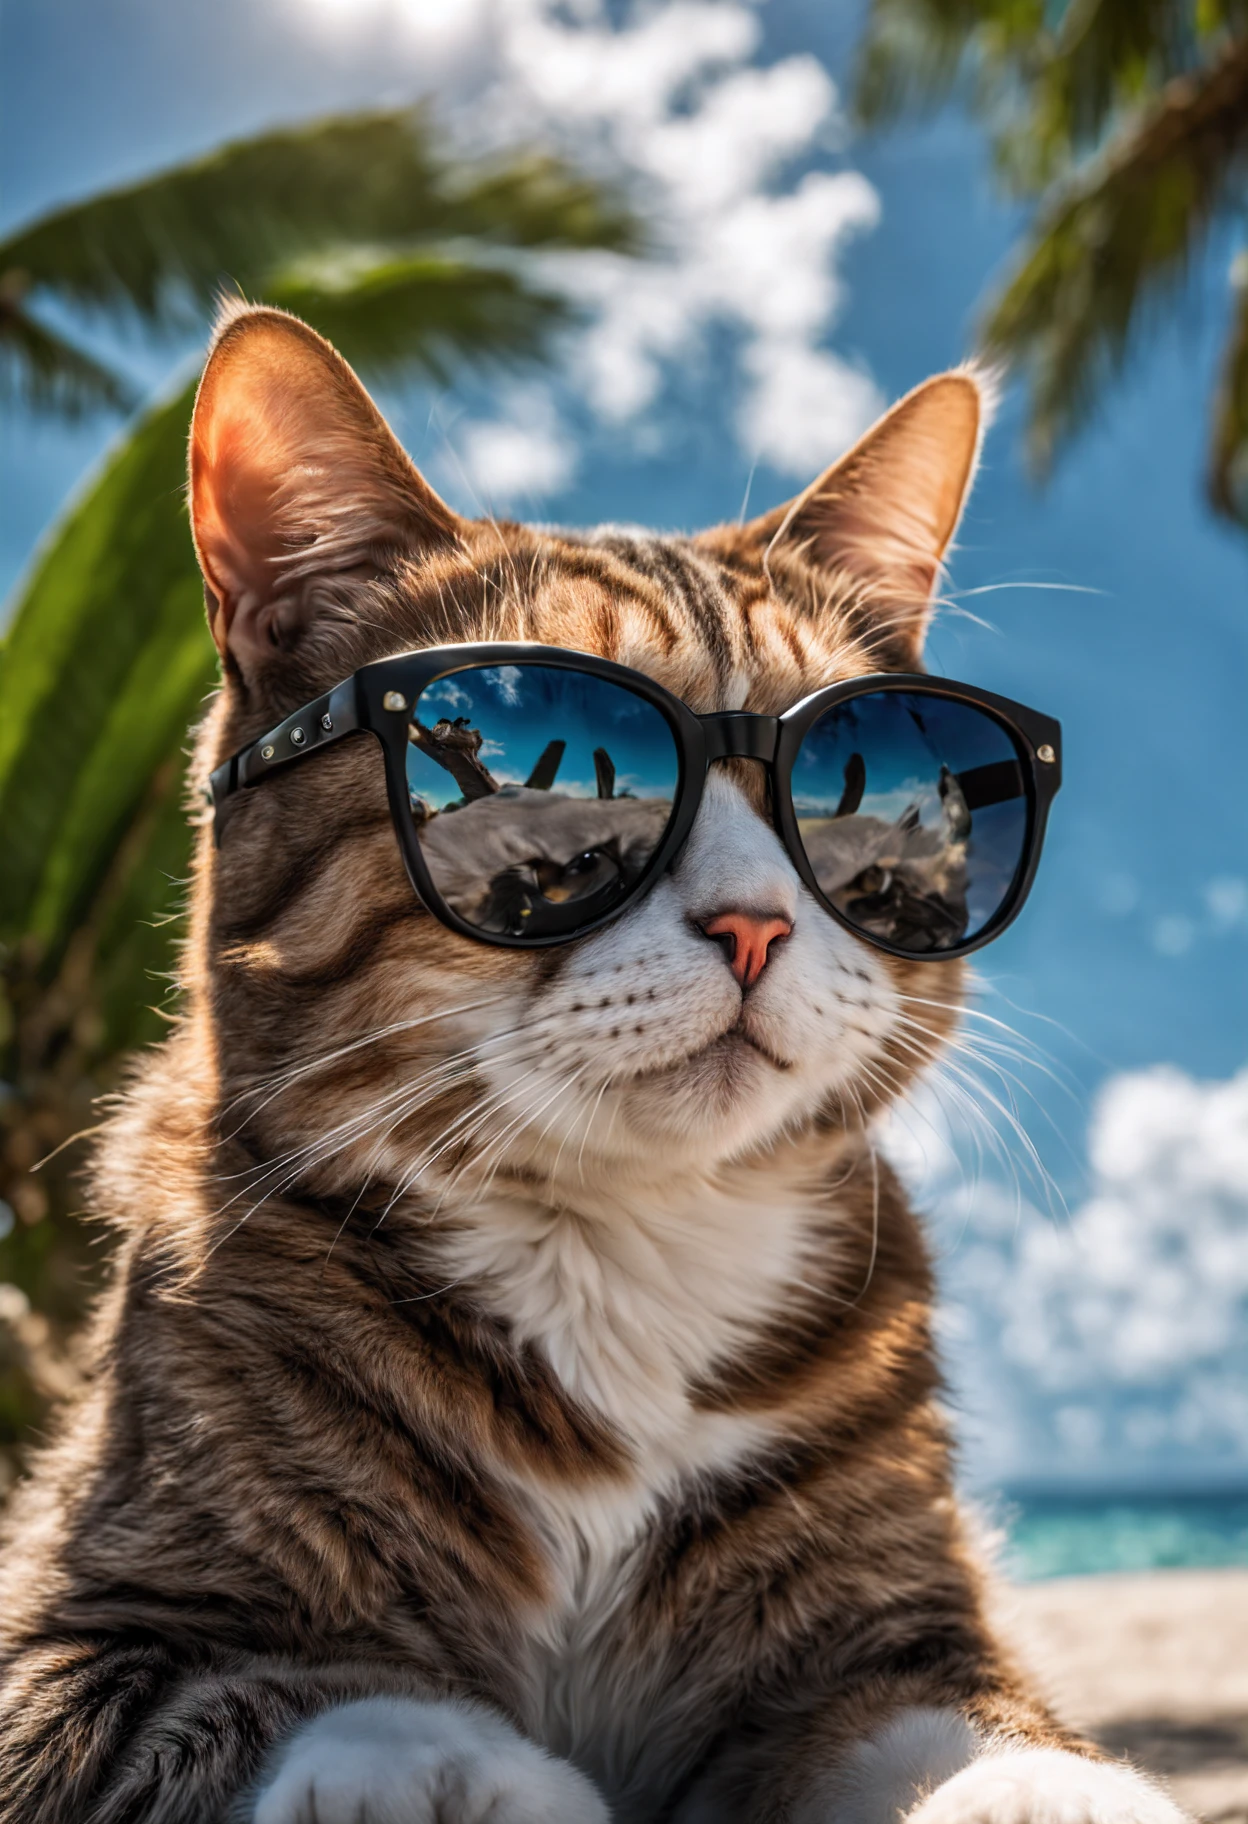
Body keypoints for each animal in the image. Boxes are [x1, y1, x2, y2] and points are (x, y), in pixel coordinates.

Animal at [0, 306, 1182, 1824]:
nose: (756, 921)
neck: (621, 1245)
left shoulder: (893, 1627)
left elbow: (960, 1719)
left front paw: (1050, 1788)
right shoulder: (78, 1630)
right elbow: (259, 1691)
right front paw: (440, 1765)